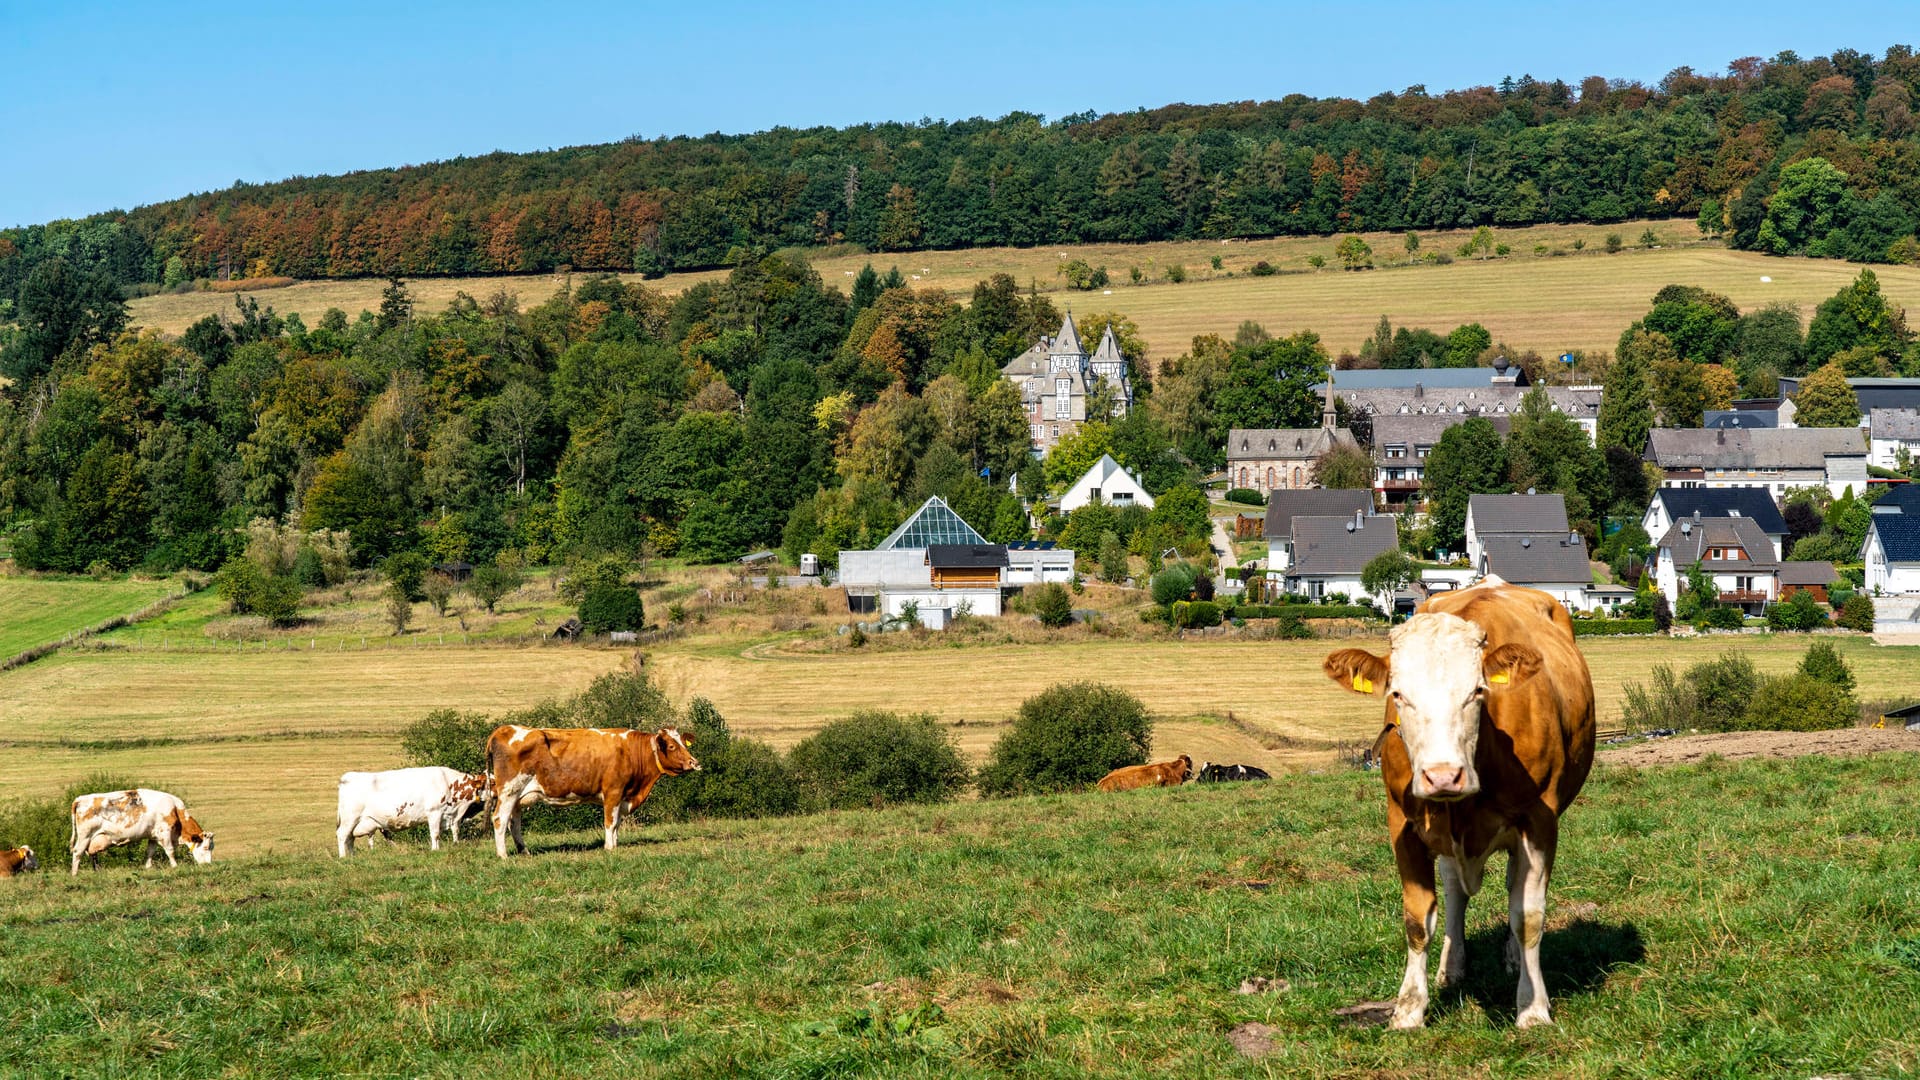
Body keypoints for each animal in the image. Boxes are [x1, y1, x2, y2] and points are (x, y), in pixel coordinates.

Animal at [70, 780, 214, 876]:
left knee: (91, 853)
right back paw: (74, 874)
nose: (208, 865)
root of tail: (80, 798)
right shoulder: (164, 832)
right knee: (77, 852)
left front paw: (148, 867)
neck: (174, 809)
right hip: (85, 835)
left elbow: (150, 852)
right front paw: (175, 866)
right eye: (206, 847)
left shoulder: (153, 835)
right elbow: (170, 851)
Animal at [337, 764, 487, 857]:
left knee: (350, 838)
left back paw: (353, 856)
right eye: (490, 782)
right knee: (342, 835)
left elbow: (452, 831)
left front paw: (452, 845)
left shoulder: (450, 815)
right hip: (349, 818)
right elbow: (435, 834)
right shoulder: (434, 812)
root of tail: (348, 777)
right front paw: (435, 850)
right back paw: (343, 857)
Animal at [483, 722, 702, 857]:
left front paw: (615, 845)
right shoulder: (613, 792)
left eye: (684, 743)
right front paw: (609, 847)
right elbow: (610, 823)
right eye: (672, 746)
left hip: (518, 796)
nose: (694, 762)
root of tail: (503, 729)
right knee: (500, 819)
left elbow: (616, 824)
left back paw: (524, 851)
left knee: (514, 822)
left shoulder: (622, 796)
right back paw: (503, 855)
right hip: (509, 790)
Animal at [1328, 572, 1597, 1022]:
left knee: (1513, 887)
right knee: (1455, 890)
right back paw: (1451, 967)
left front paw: (1533, 1007)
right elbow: (1417, 918)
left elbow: (1528, 916)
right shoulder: (1402, 821)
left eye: (1477, 691)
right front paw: (1408, 1010)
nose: (1442, 776)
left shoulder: (1539, 820)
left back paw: (1512, 959)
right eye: (1398, 695)